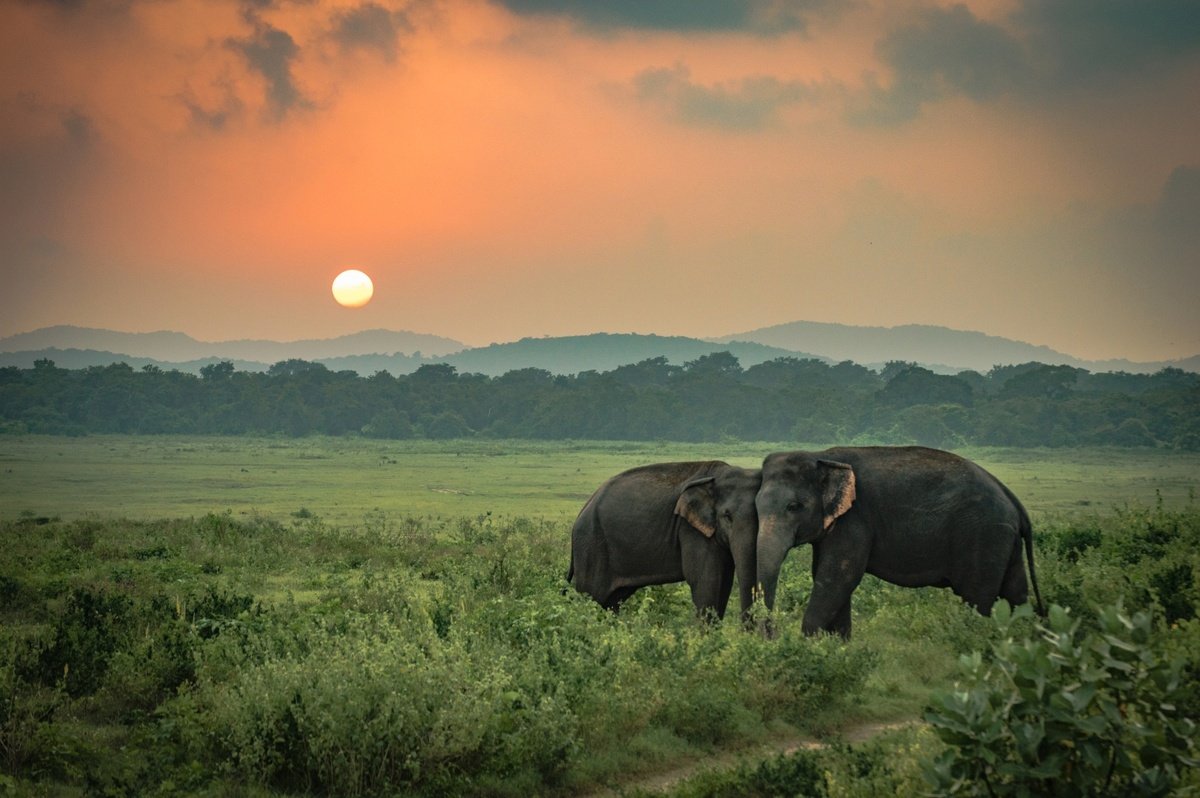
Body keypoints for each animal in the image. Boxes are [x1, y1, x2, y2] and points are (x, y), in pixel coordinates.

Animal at [568, 460, 758, 624]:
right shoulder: (690, 529)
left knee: (611, 602)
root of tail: (582, 510)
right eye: (727, 516)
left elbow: (724, 582)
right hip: (590, 546)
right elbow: (705, 580)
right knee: (591, 595)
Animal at [758, 444, 1041, 638]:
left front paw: (809, 645)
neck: (821, 456)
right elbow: (827, 576)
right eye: (756, 506)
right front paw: (837, 647)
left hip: (984, 536)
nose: (771, 636)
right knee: (1016, 593)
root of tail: (1012, 499)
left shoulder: (855, 520)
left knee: (977, 597)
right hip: (1003, 540)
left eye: (794, 507)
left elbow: (837, 578)